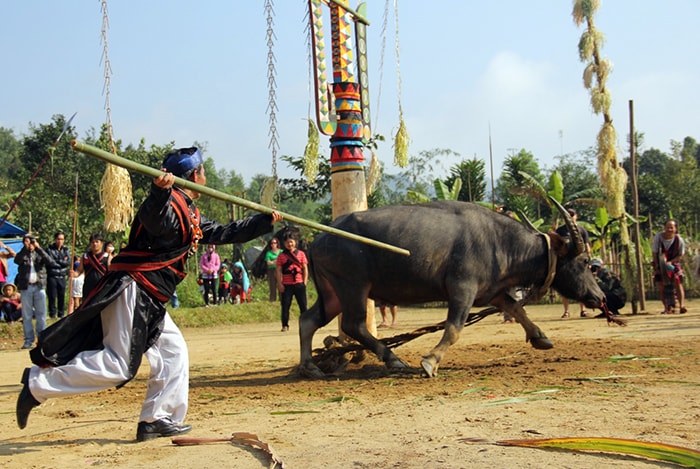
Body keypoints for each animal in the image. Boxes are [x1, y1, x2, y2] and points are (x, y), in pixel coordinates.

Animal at [298, 199, 604, 378]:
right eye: (584, 261)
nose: (599, 297)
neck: (501, 243)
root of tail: (318, 239)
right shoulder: (462, 289)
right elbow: (454, 329)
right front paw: (431, 361)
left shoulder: (492, 292)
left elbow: (517, 309)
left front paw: (541, 337)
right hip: (354, 286)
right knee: (354, 324)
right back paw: (393, 359)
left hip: (333, 293)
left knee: (308, 320)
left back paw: (310, 366)